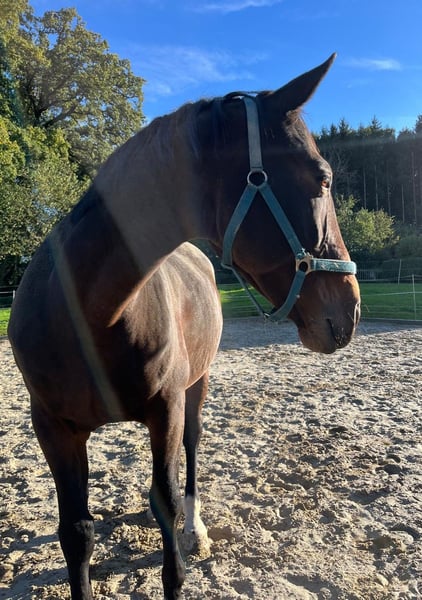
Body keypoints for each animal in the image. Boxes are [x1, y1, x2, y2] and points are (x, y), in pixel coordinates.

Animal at [8, 54, 360, 599]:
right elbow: (77, 531)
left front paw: (181, 545)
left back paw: (196, 530)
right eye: (322, 179)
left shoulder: (168, 409)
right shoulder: (52, 428)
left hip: (197, 386)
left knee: (191, 455)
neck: (90, 313)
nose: (350, 310)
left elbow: (168, 507)